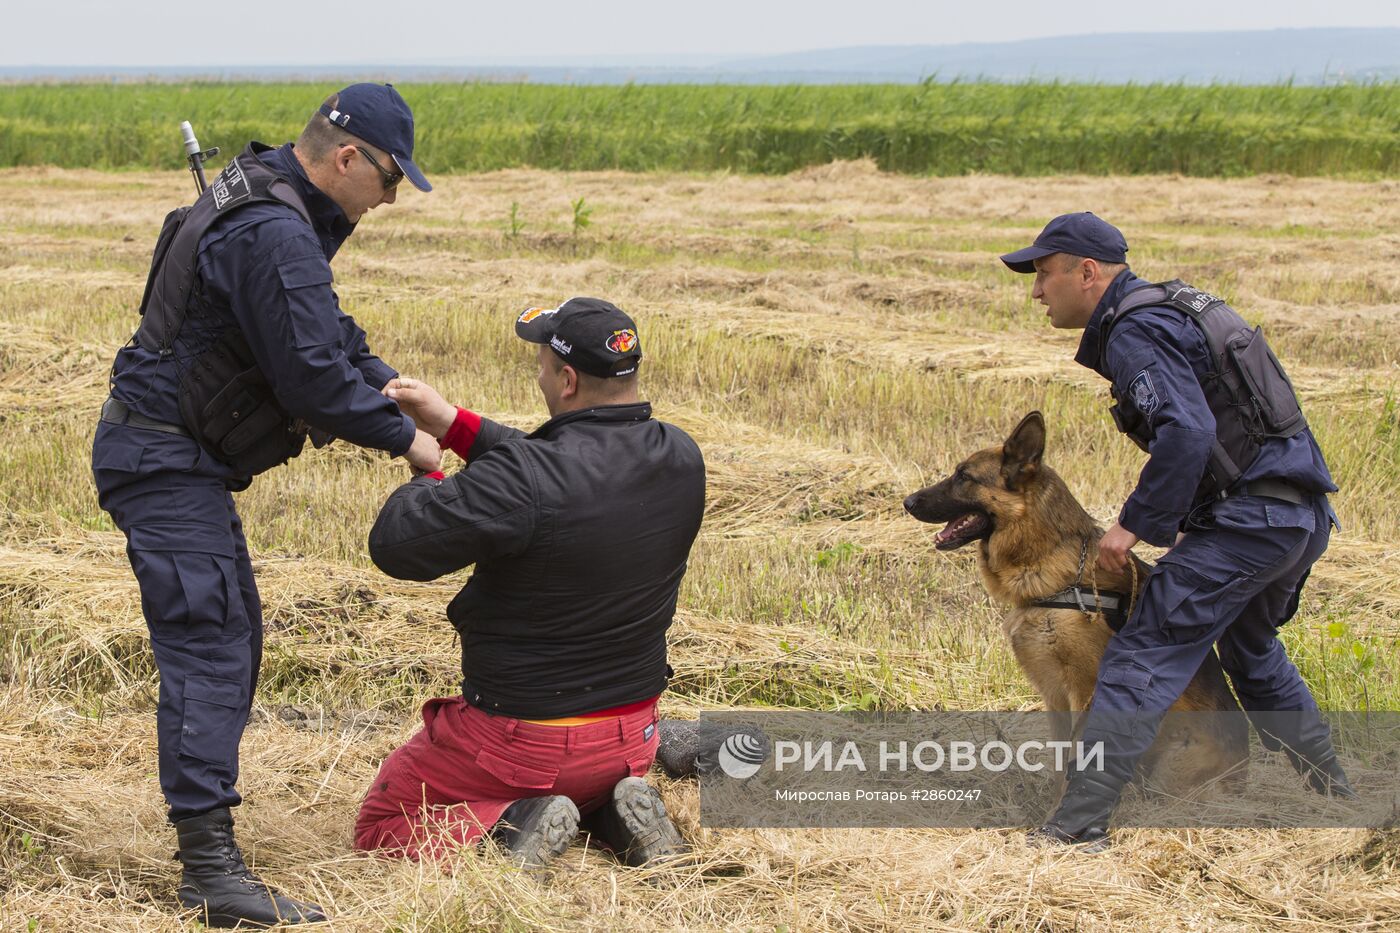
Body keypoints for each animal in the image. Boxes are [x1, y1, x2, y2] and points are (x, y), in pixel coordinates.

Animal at [907, 411, 1248, 795]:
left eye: (964, 476)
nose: (907, 502)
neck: (1049, 564)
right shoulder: (1055, 698)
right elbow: (1060, 761)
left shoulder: (1085, 693)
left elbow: (1077, 759)